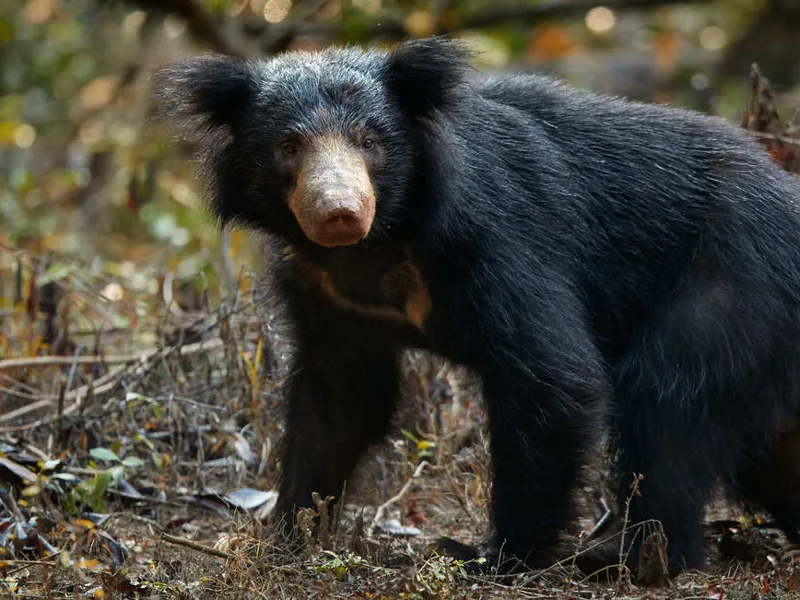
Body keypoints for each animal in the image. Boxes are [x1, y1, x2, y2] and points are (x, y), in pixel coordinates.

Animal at [151, 37, 800, 575]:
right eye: (289, 147)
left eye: (369, 142)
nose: (338, 212)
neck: (382, 243)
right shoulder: (327, 295)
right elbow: (338, 403)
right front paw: (289, 535)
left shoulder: (498, 239)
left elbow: (551, 378)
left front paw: (493, 557)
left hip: (728, 285)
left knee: (664, 403)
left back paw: (630, 557)